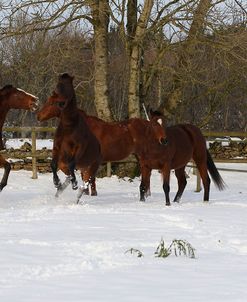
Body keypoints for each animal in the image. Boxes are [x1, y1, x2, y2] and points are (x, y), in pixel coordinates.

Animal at [48, 72, 102, 202]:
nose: (61, 103)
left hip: (91, 167)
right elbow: (53, 164)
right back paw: (61, 188)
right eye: (58, 86)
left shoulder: (79, 148)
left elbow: (72, 164)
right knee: (69, 174)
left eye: (68, 87)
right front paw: (56, 182)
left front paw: (74, 184)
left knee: (85, 184)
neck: (69, 126)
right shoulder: (56, 147)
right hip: (76, 166)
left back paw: (76, 193)